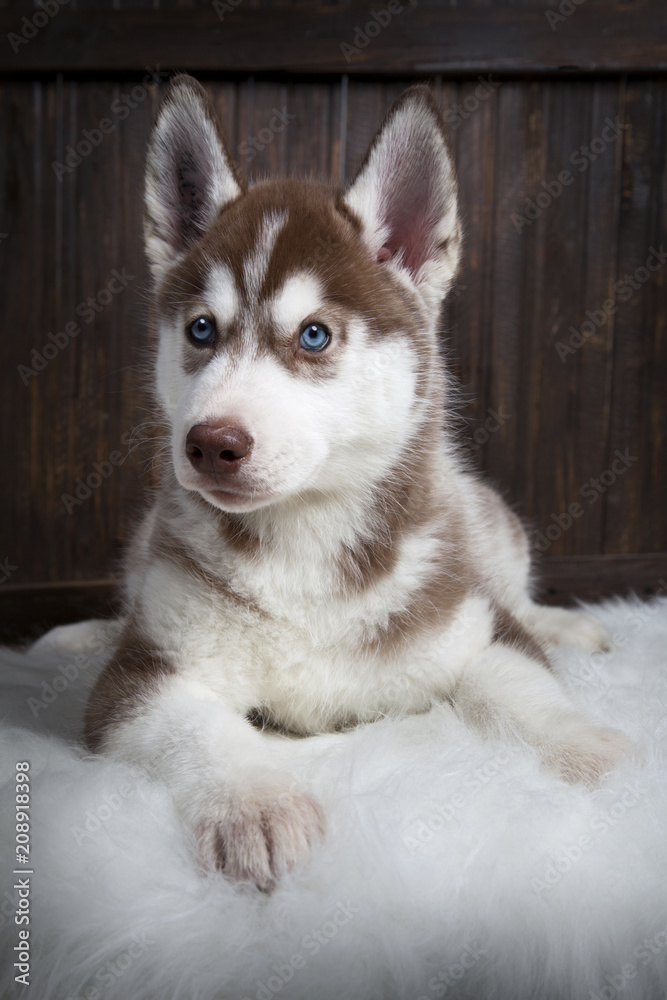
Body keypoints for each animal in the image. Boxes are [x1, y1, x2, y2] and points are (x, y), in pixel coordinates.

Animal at [86, 76, 628, 892]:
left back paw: (566, 625)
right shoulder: (142, 674)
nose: (209, 444)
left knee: (519, 596)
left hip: (489, 519)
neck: (306, 540)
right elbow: (198, 728)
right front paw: (254, 800)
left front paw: (594, 750)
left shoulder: (471, 623)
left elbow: (523, 684)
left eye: (314, 335)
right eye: (201, 330)